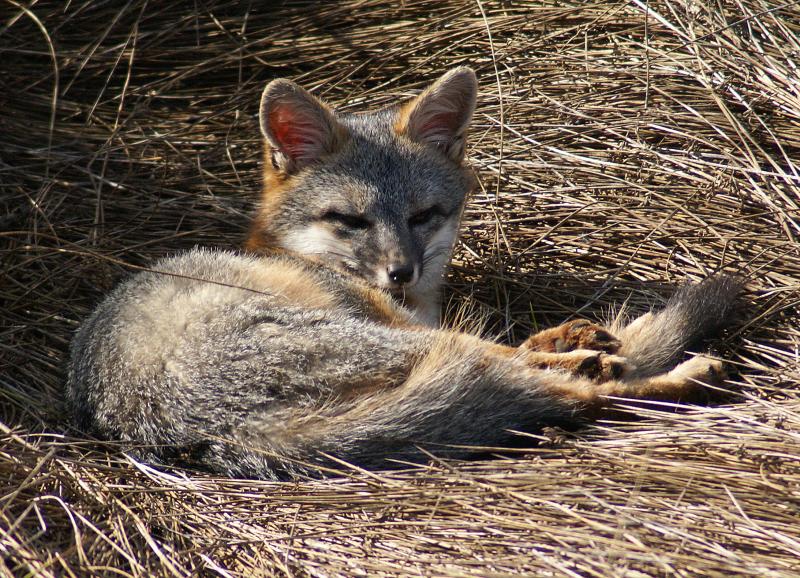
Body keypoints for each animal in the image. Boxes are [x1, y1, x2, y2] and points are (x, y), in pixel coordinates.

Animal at [67, 67, 741, 480]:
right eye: (350, 219)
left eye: (423, 215)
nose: (400, 273)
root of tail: (214, 426)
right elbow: (515, 352)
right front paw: (579, 347)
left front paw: (568, 337)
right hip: (375, 335)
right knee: (561, 387)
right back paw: (663, 373)